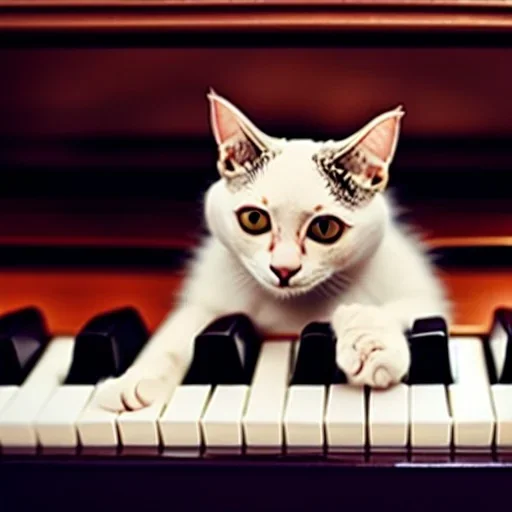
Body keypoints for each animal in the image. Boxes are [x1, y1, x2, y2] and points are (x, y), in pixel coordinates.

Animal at [94, 90, 450, 414]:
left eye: (325, 228)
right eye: (254, 219)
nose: (284, 269)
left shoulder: (418, 292)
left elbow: (405, 309)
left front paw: (371, 345)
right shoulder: (209, 298)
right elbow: (178, 331)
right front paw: (134, 379)